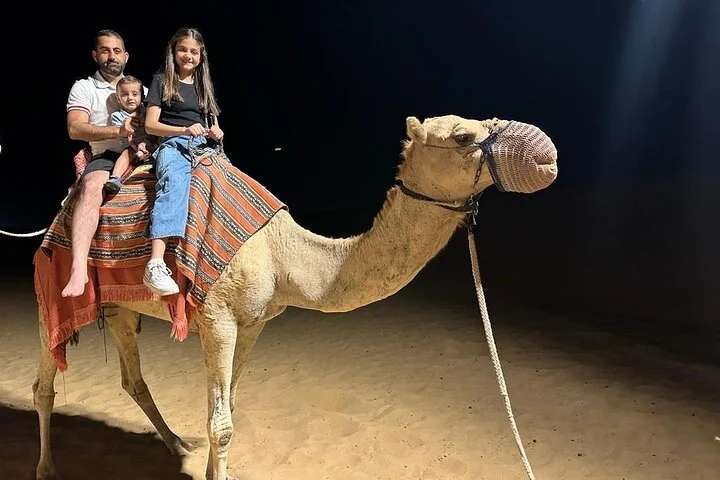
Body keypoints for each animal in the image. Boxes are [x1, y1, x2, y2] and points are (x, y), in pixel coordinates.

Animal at [32, 114, 557, 480]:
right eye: (464, 137)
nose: (546, 153)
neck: (281, 252)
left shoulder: (254, 323)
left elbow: (228, 410)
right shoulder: (217, 318)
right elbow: (221, 424)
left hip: (121, 305)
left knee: (132, 378)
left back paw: (177, 445)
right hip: (52, 290)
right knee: (45, 383)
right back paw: (46, 468)